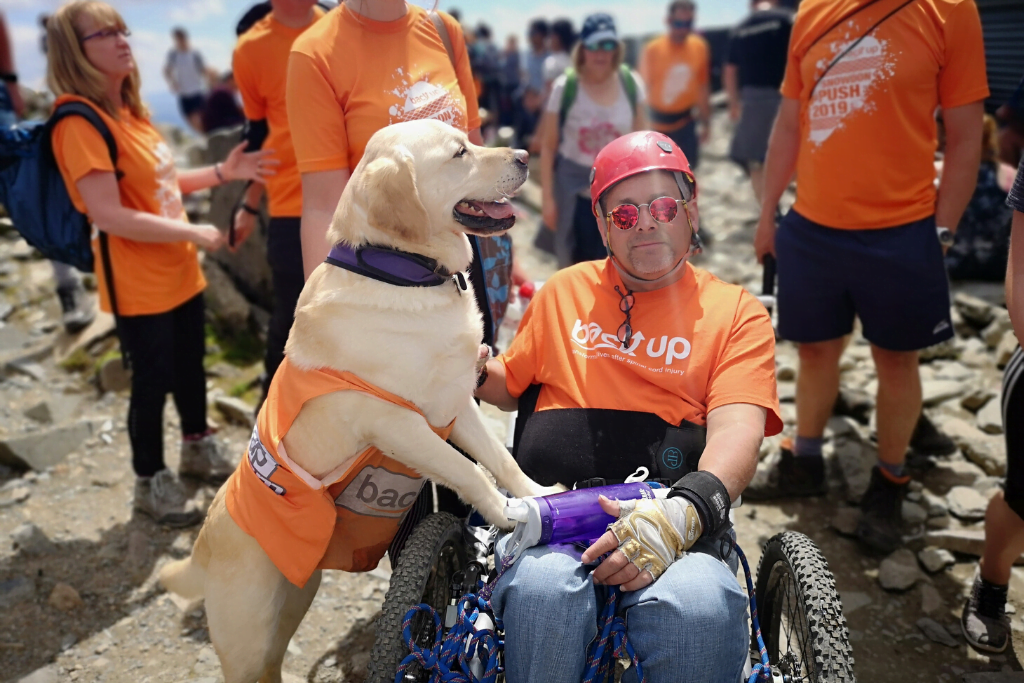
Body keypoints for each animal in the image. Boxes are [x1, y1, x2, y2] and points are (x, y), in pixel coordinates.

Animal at [159, 120, 561, 683]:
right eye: (459, 153)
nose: (525, 154)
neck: (405, 272)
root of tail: (201, 549)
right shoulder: (398, 424)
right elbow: (469, 472)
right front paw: (506, 515)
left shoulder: (456, 403)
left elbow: (501, 461)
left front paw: (539, 496)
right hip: (247, 643)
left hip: (292, 603)